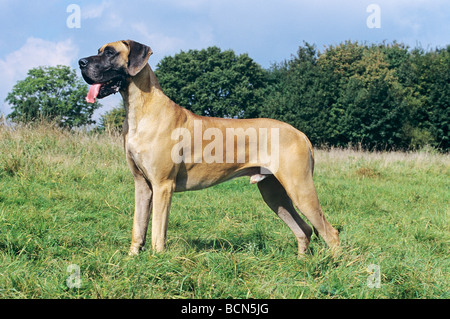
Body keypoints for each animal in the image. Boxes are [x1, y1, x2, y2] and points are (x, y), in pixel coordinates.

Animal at [79, 40, 340, 256]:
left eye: (110, 52)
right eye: (99, 50)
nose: (81, 62)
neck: (140, 110)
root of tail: (301, 133)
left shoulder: (163, 185)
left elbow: (157, 231)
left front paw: (157, 259)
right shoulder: (142, 185)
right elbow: (138, 225)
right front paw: (133, 257)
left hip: (300, 188)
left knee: (330, 233)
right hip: (274, 193)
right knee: (304, 230)